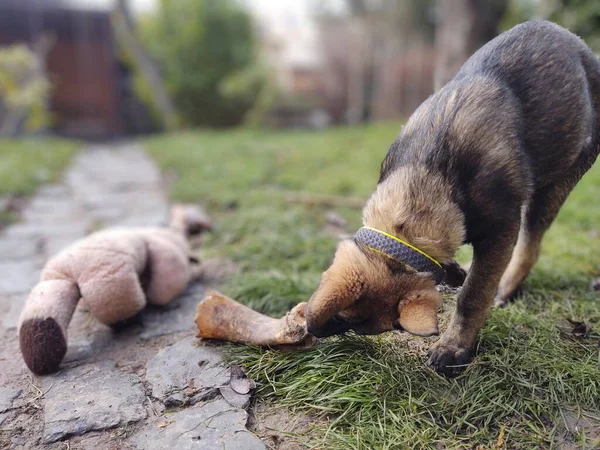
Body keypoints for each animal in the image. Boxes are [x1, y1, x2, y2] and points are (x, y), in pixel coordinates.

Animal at [304, 22, 600, 378]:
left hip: (557, 184)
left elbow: (474, 294)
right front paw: (455, 275)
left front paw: (455, 346)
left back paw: (507, 286)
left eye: (360, 326)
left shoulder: (501, 230)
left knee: (530, 245)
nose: (311, 332)